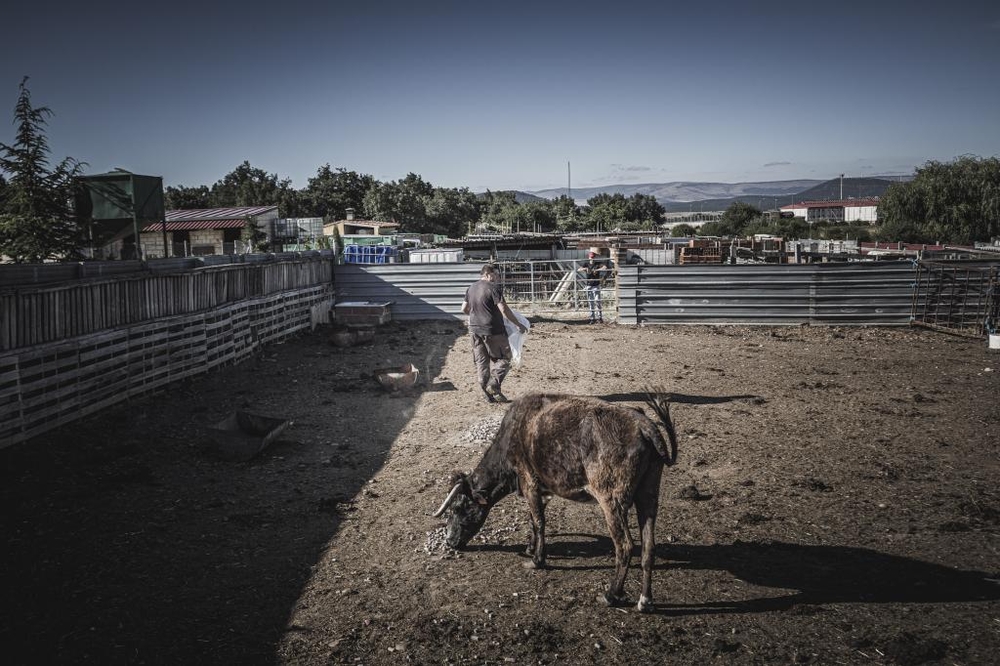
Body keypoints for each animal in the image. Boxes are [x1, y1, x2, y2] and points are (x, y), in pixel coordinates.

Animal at [434, 390, 676, 612]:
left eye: (459, 507)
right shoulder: (544, 489)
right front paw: (531, 548)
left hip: (611, 500)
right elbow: (533, 520)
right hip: (648, 495)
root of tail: (644, 426)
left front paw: (537, 560)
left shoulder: (529, 482)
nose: (450, 541)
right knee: (648, 547)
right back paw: (645, 600)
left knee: (625, 546)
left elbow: (539, 521)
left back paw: (610, 595)